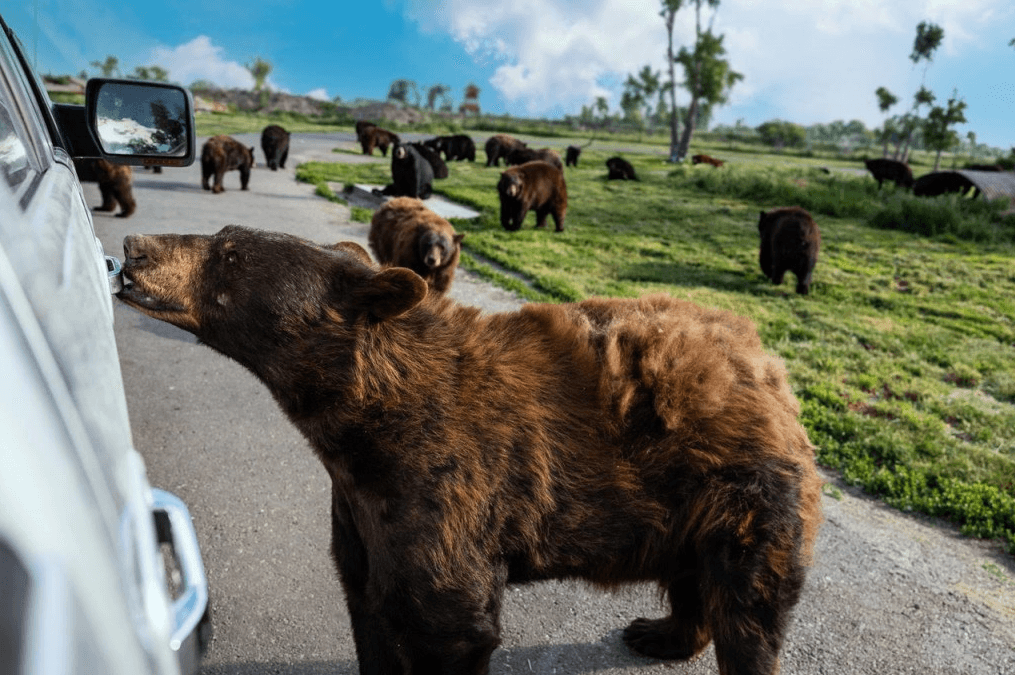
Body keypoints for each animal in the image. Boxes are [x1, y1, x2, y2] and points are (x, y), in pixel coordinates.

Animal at [117, 224, 822, 675]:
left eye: (231, 254)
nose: (134, 246)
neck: (362, 427)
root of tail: (771, 367)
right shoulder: (362, 506)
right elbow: (366, 599)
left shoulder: (450, 488)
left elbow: (447, 618)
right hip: (691, 499)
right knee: (697, 577)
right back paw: (661, 634)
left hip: (745, 489)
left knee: (749, 608)